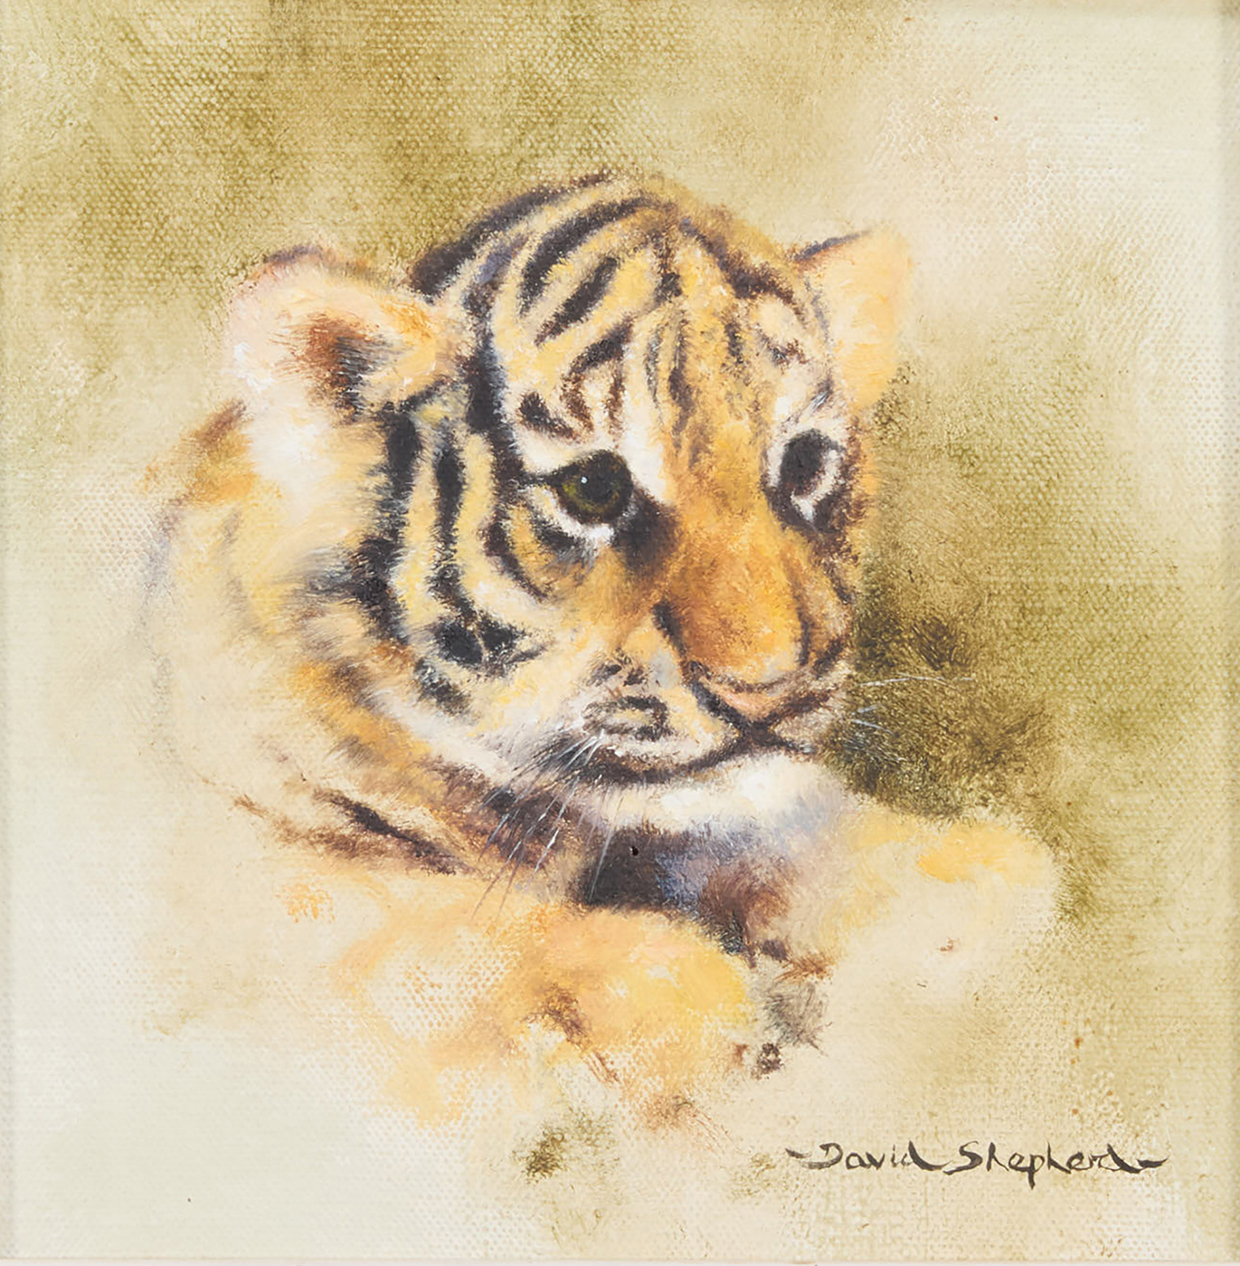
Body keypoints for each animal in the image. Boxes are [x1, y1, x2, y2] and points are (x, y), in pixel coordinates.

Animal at [153, 173, 1054, 1121]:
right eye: (593, 488)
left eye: (806, 464)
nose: (765, 693)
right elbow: (420, 922)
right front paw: (698, 1010)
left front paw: (982, 882)